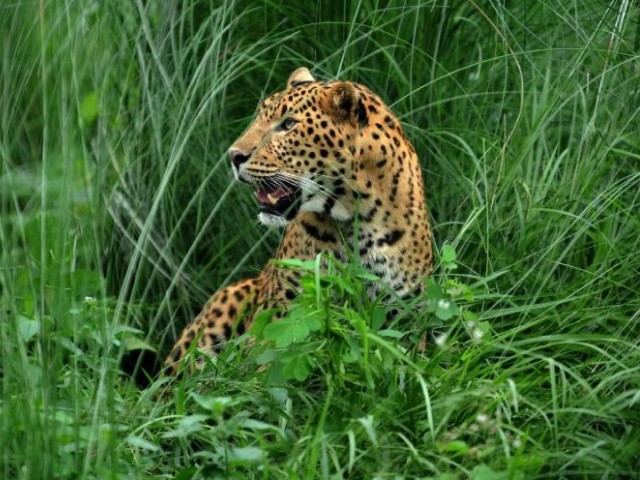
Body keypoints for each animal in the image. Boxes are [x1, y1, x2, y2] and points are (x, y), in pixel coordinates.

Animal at [166, 66, 436, 376]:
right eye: (259, 117)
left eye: (288, 124)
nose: (233, 156)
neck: (356, 219)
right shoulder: (283, 312)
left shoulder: (405, 317)